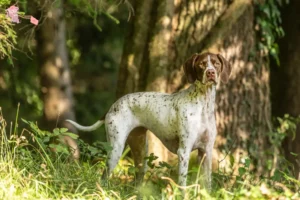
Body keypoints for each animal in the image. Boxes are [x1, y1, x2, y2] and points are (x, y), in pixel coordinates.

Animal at [67, 52, 232, 190]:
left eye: (216, 64)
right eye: (202, 64)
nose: (210, 72)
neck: (203, 105)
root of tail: (114, 105)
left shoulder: (206, 152)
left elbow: (207, 184)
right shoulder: (183, 152)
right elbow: (182, 184)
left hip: (141, 153)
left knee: (137, 179)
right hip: (115, 149)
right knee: (104, 176)